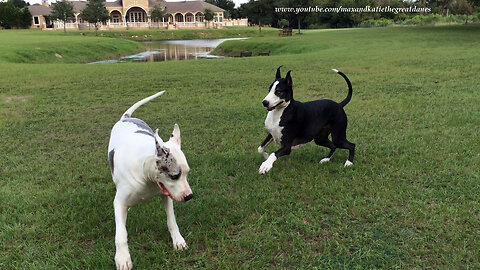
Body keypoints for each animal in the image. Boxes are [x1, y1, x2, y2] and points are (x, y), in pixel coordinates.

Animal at [108, 92, 192, 268]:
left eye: (187, 173)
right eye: (174, 175)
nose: (189, 196)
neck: (144, 171)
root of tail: (126, 118)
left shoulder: (167, 195)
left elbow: (171, 220)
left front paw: (178, 241)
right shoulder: (119, 202)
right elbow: (121, 234)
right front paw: (123, 258)